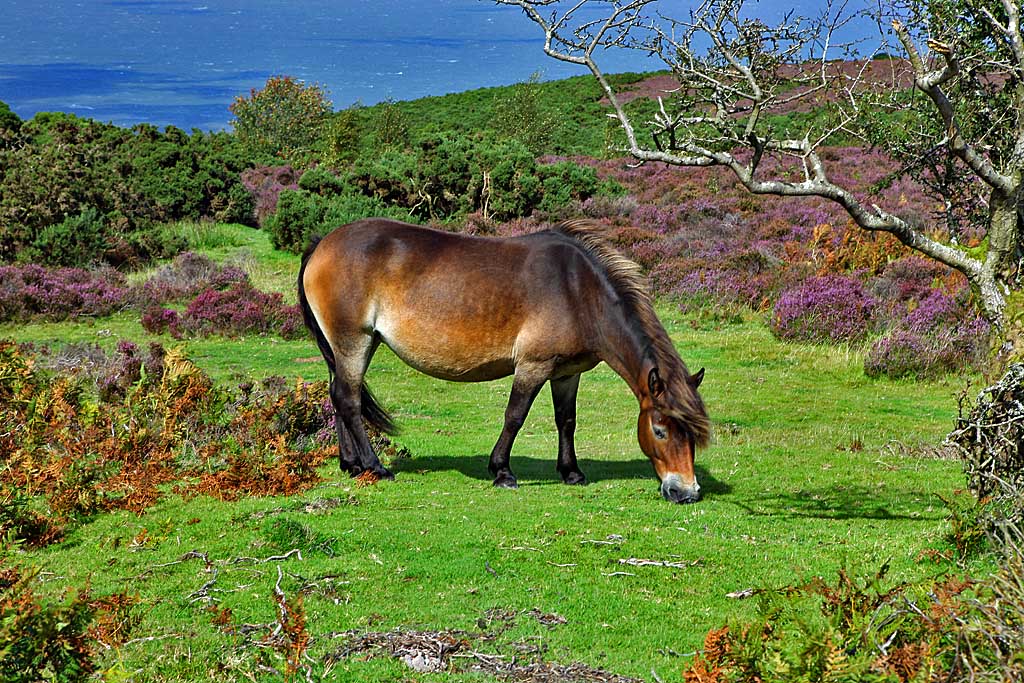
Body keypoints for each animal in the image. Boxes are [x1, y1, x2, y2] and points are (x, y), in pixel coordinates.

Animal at [296, 218, 712, 501]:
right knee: (349, 399)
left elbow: (566, 420)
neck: (578, 291)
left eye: (693, 435)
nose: (687, 491)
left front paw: (571, 472)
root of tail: (322, 243)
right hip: (354, 341)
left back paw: (350, 464)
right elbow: (515, 416)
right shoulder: (533, 366)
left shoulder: (567, 373)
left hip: (347, 347)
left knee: (337, 395)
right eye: (659, 430)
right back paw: (374, 467)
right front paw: (502, 471)